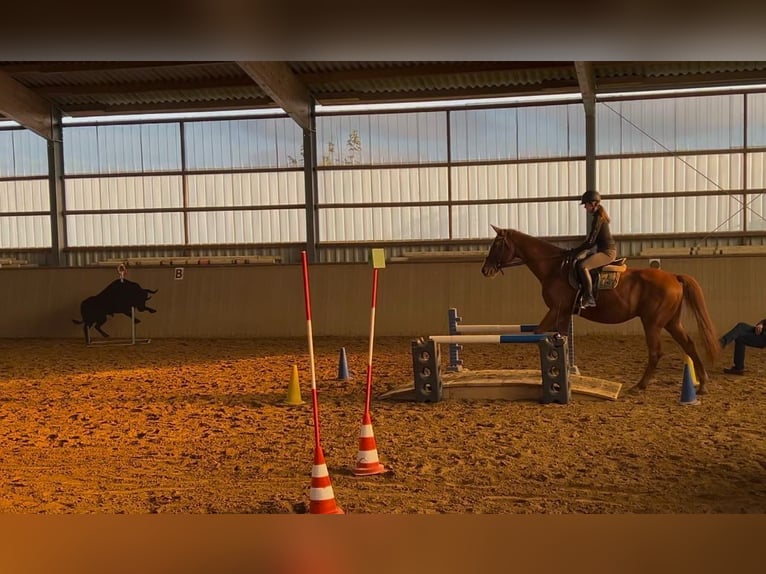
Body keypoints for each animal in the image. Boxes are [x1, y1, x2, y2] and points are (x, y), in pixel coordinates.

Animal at [484, 225, 724, 396]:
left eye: (497, 245)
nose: (485, 270)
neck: (554, 268)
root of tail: (674, 277)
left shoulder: (556, 310)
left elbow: (541, 334)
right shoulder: (562, 314)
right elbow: (557, 337)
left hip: (653, 323)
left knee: (656, 352)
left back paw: (639, 386)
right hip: (671, 322)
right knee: (689, 345)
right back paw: (702, 384)